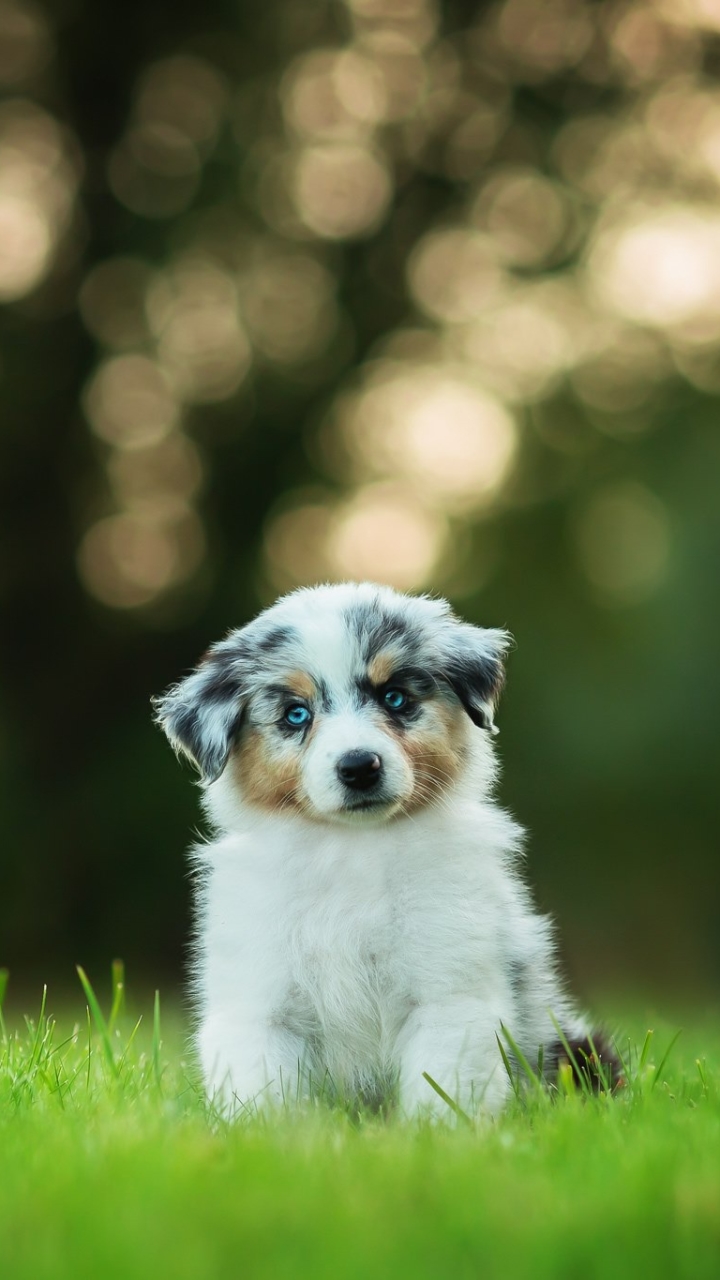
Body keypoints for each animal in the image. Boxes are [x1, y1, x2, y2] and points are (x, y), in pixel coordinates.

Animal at [154, 583, 614, 1121]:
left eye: (395, 698)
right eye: (296, 714)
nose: (359, 767)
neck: (352, 848)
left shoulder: (448, 992)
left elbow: (444, 1085)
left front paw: (437, 1133)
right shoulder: (259, 1000)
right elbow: (264, 1094)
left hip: (574, 1049)